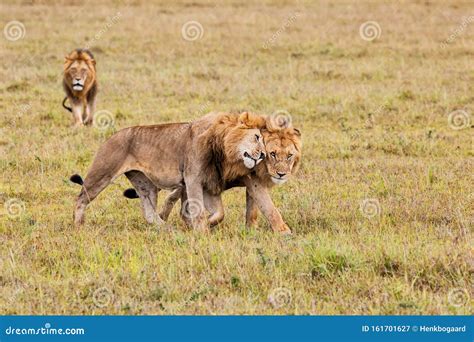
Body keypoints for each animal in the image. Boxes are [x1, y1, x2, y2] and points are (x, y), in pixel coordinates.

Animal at [69, 111, 266, 231]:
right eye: (257, 137)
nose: (263, 155)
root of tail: (111, 137)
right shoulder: (192, 179)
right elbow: (198, 211)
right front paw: (201, 231)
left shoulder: (207, 182)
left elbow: (219, 213)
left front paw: (202, 226)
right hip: (102, 173)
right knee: (80, 199)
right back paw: (78, 226)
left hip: (145, 184)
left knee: (149, 213)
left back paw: (168, 229)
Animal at [122, 113, 300, 234]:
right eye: (273, 154)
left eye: (289, 156)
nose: (281, 174)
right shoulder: (251, 178)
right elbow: (268, 206)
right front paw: (284, 231)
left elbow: (253, 208)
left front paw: (251, 229)